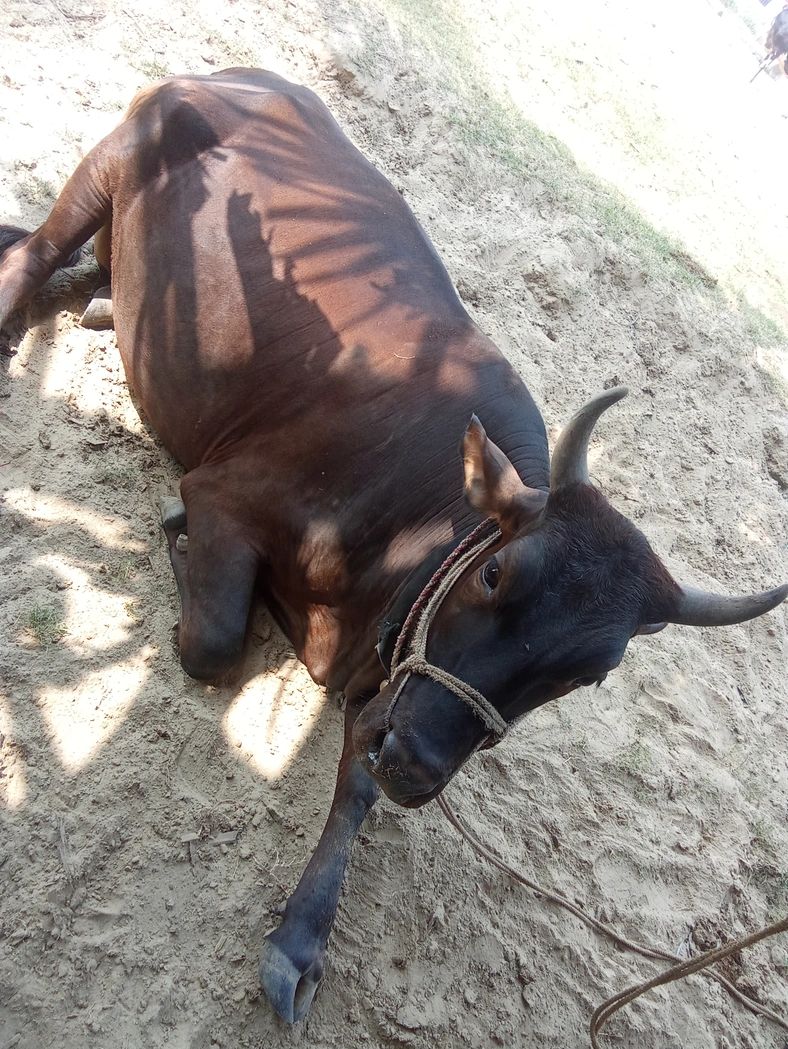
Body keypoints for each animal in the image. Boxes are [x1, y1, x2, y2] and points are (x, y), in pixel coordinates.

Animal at [0, 68, 785, 1024]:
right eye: (495, 571)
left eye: (592, 675)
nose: (419, 768)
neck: (413, 524)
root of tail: (228, 80)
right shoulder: (225, 496)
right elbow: (214, 640)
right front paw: (179, 544)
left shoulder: (395, 683)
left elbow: (358, 781)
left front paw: (301, 936)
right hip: (106, 163)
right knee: (28, 258)